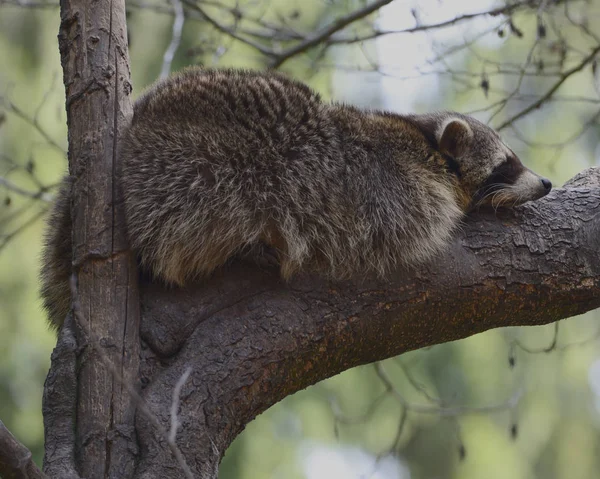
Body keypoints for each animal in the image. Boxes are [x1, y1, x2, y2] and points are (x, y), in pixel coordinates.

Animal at [39, 68, 552, 330]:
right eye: (507, 163)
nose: (546, 183)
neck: (423, 140)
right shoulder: (398, 186)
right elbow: (403, 229)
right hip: (193, 169)